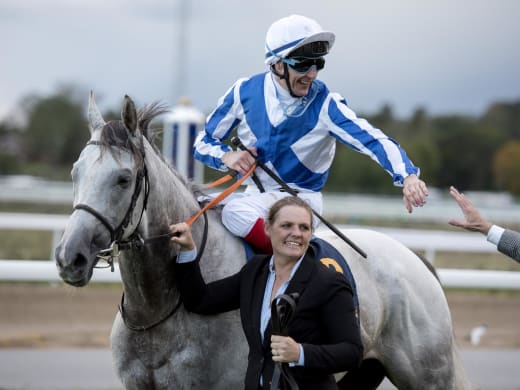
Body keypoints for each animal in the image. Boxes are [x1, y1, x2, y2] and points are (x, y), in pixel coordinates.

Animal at [54, 94, 474, 390]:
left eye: (123, 178)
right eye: (74, 172)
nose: (69, 257)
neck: (160, 307)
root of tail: (417, 260)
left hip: (429, 376)